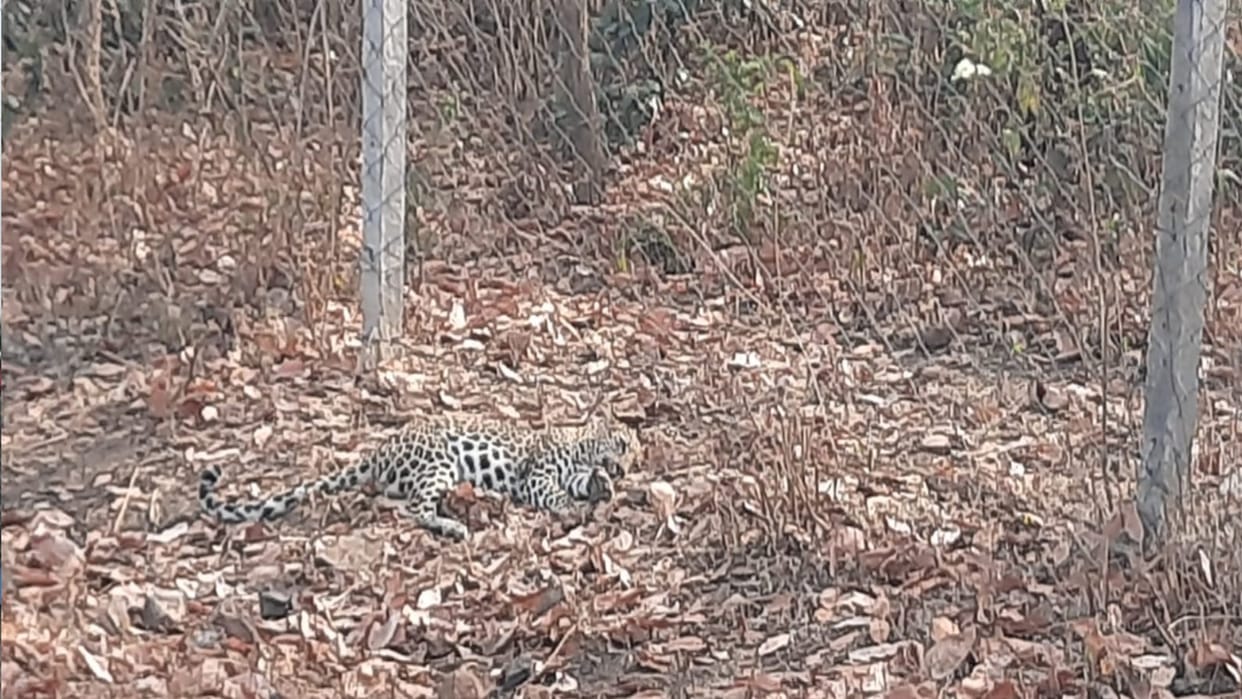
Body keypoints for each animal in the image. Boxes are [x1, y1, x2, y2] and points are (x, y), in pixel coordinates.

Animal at [197, 415, 641, 540]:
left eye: (636, 457)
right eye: (623, 443)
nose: (625, 468)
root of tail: (379, 451)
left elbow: (582, 483)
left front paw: (602, 485)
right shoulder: (537, 475)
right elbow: (554, 493)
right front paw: (571, 509)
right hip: (438, 462)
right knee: (414, 510)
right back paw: (454, 527)